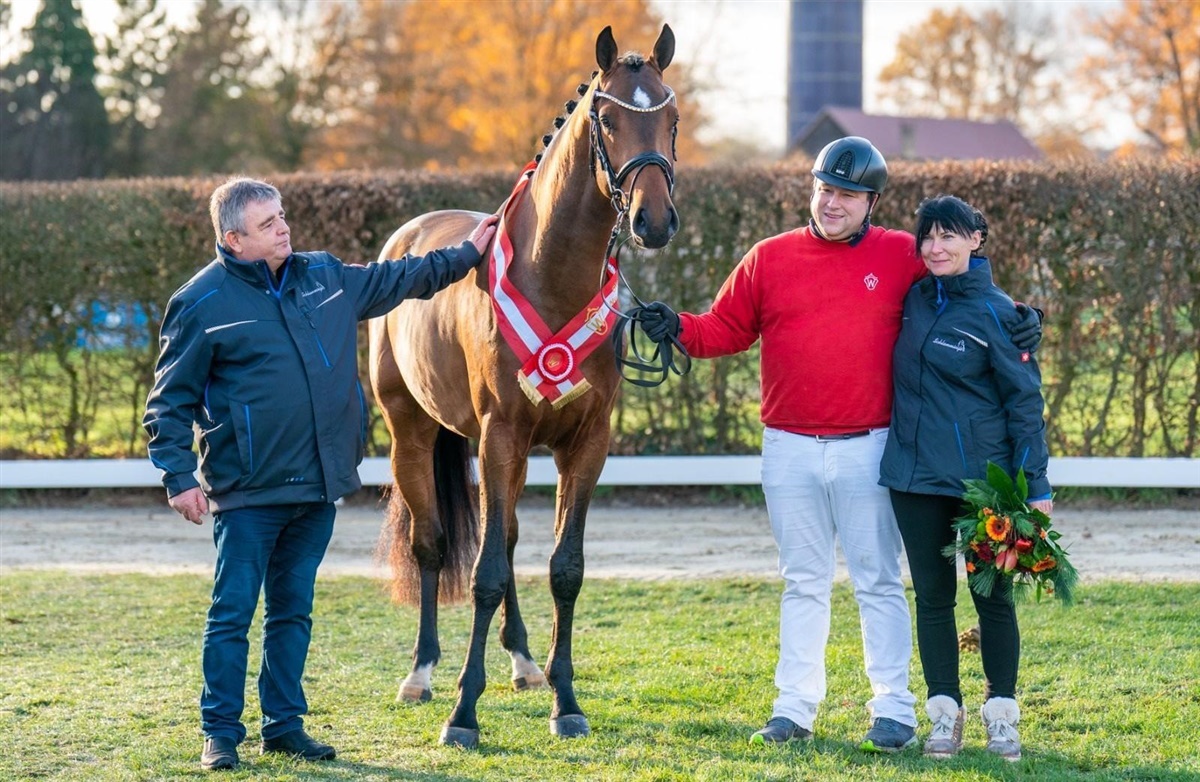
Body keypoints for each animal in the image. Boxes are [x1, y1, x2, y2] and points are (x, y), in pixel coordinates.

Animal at [368, 25, 679, 748]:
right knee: (434, 545)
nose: (652, 221)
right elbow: (481, 575)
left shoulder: (584, 446)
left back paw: (524, 663)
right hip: (412, 433)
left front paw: (566, 702)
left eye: (673, 119)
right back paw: (422, 673)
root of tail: (406, 235)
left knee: (503, 540)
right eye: (608, 120)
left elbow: (563, 568)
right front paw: (463, 712)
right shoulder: (501, 437)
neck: (552, 273)